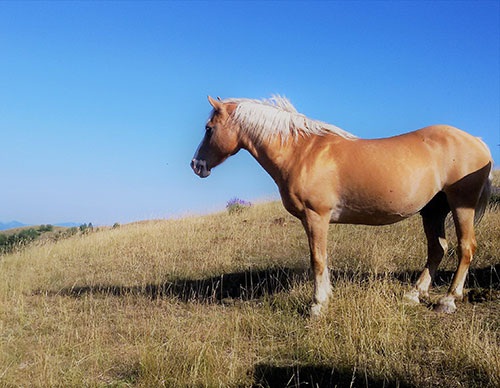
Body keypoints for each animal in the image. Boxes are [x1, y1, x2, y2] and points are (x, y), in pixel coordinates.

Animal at [191, 96, 492, 316]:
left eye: (208, 128)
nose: (196, 165)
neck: (302, 152)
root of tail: (477, 141)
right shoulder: (312, 220)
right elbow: (322, 258)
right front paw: (325, 297)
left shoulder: (316, 216)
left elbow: (317, 258)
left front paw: (317, 305)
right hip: (433, 210)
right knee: (437, 249)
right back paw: (414, 294)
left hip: (461, 205)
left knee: (465, 247)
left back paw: (448, 300)